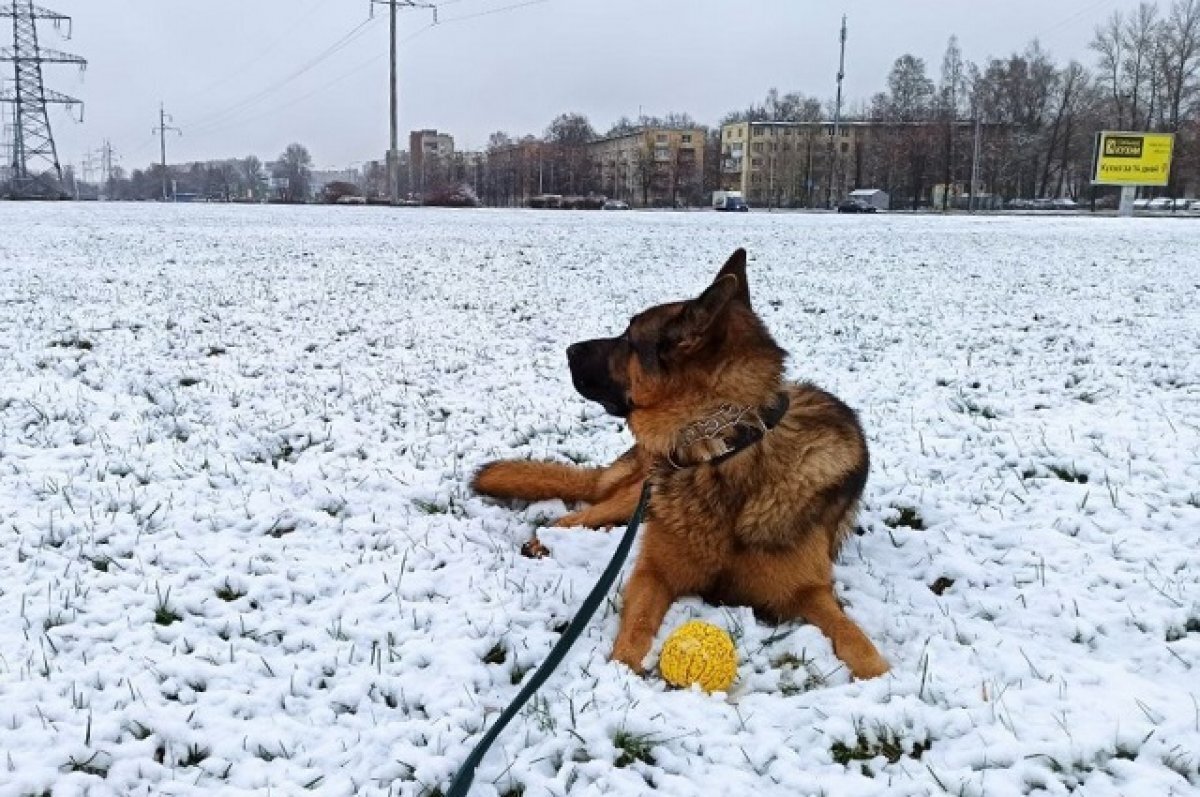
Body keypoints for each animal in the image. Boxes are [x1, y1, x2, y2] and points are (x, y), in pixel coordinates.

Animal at [472, 249, 888, 676]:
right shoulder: (655, 572)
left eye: (628, 341)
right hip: (638, 498)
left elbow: (854, 639)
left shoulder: (809, 592)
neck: (724, 451)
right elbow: (637, 625)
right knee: (581, 514)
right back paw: (545, 539)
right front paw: (621, 671)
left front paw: (877, 673)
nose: (569, 350)